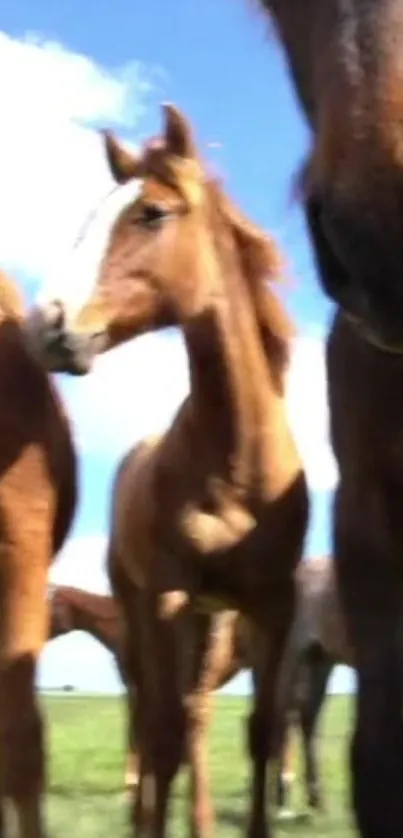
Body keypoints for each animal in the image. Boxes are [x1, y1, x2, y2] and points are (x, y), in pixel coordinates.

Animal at [25, 103, 310, 838]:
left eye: (151, 213)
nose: (46, 325)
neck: (239, 465)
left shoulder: (273, 605)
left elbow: (262, 732)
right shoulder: (164, 598)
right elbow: (163, 739)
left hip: (208, 621)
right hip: (147, 607)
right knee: (160, 727)